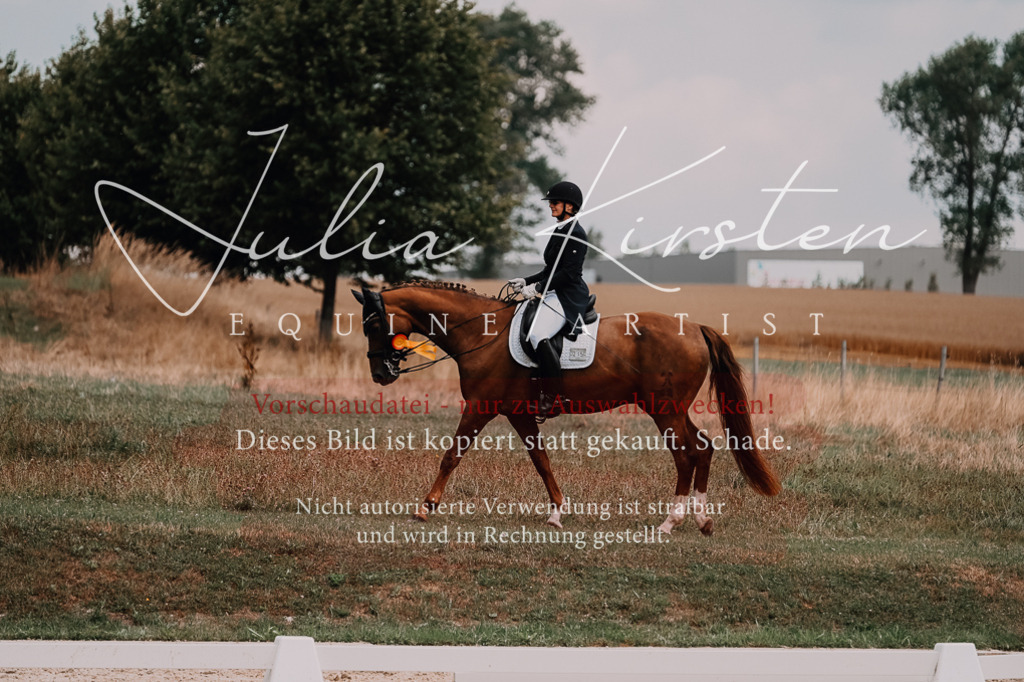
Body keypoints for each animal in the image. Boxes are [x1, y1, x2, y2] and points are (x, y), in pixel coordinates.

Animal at [352, 281, 781, 535]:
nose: (380, 374)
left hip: (664, 410)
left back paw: (669, 522)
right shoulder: (519, 413)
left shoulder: (480, 407)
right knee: (703, 448)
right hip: (671, 409)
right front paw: (557, 512)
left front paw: (426, 507)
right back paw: (702, 520)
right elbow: (541, 461)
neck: (480, 332)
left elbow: (452, 455)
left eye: (372, 324)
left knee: (687, 454)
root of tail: (694, 328)